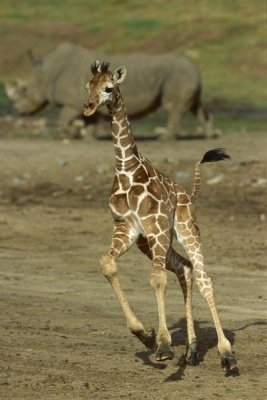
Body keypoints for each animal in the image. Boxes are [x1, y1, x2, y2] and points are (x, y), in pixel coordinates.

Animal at [84, 61, 239, 374]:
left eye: (109, 88)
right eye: (88, 86)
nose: (89, 107)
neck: (126, 170)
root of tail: (189, 196)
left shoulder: (155, 227)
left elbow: (156, 279)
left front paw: (164, 345)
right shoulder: (127, 229)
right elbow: (107, 264)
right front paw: (144, 334)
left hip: (185, 230)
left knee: (204, 278)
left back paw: (226, 355)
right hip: (153, 243)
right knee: (185, 268)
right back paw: (191, 351)